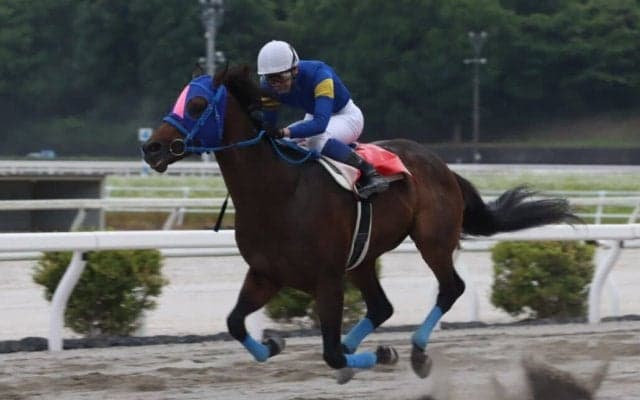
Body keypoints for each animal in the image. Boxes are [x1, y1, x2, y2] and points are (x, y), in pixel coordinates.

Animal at [142, 64, 576, 383]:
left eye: (197, 104)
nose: (151, 148)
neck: (279, 193)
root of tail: (442, 165)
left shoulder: (328, 278)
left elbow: (331, 353)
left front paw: (383, 353)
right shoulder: (266, 273)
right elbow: (234, 323)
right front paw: (275, 345)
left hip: (432, 240)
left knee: (450, 288)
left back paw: (415, 352)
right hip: (363, 259)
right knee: (382, 306)